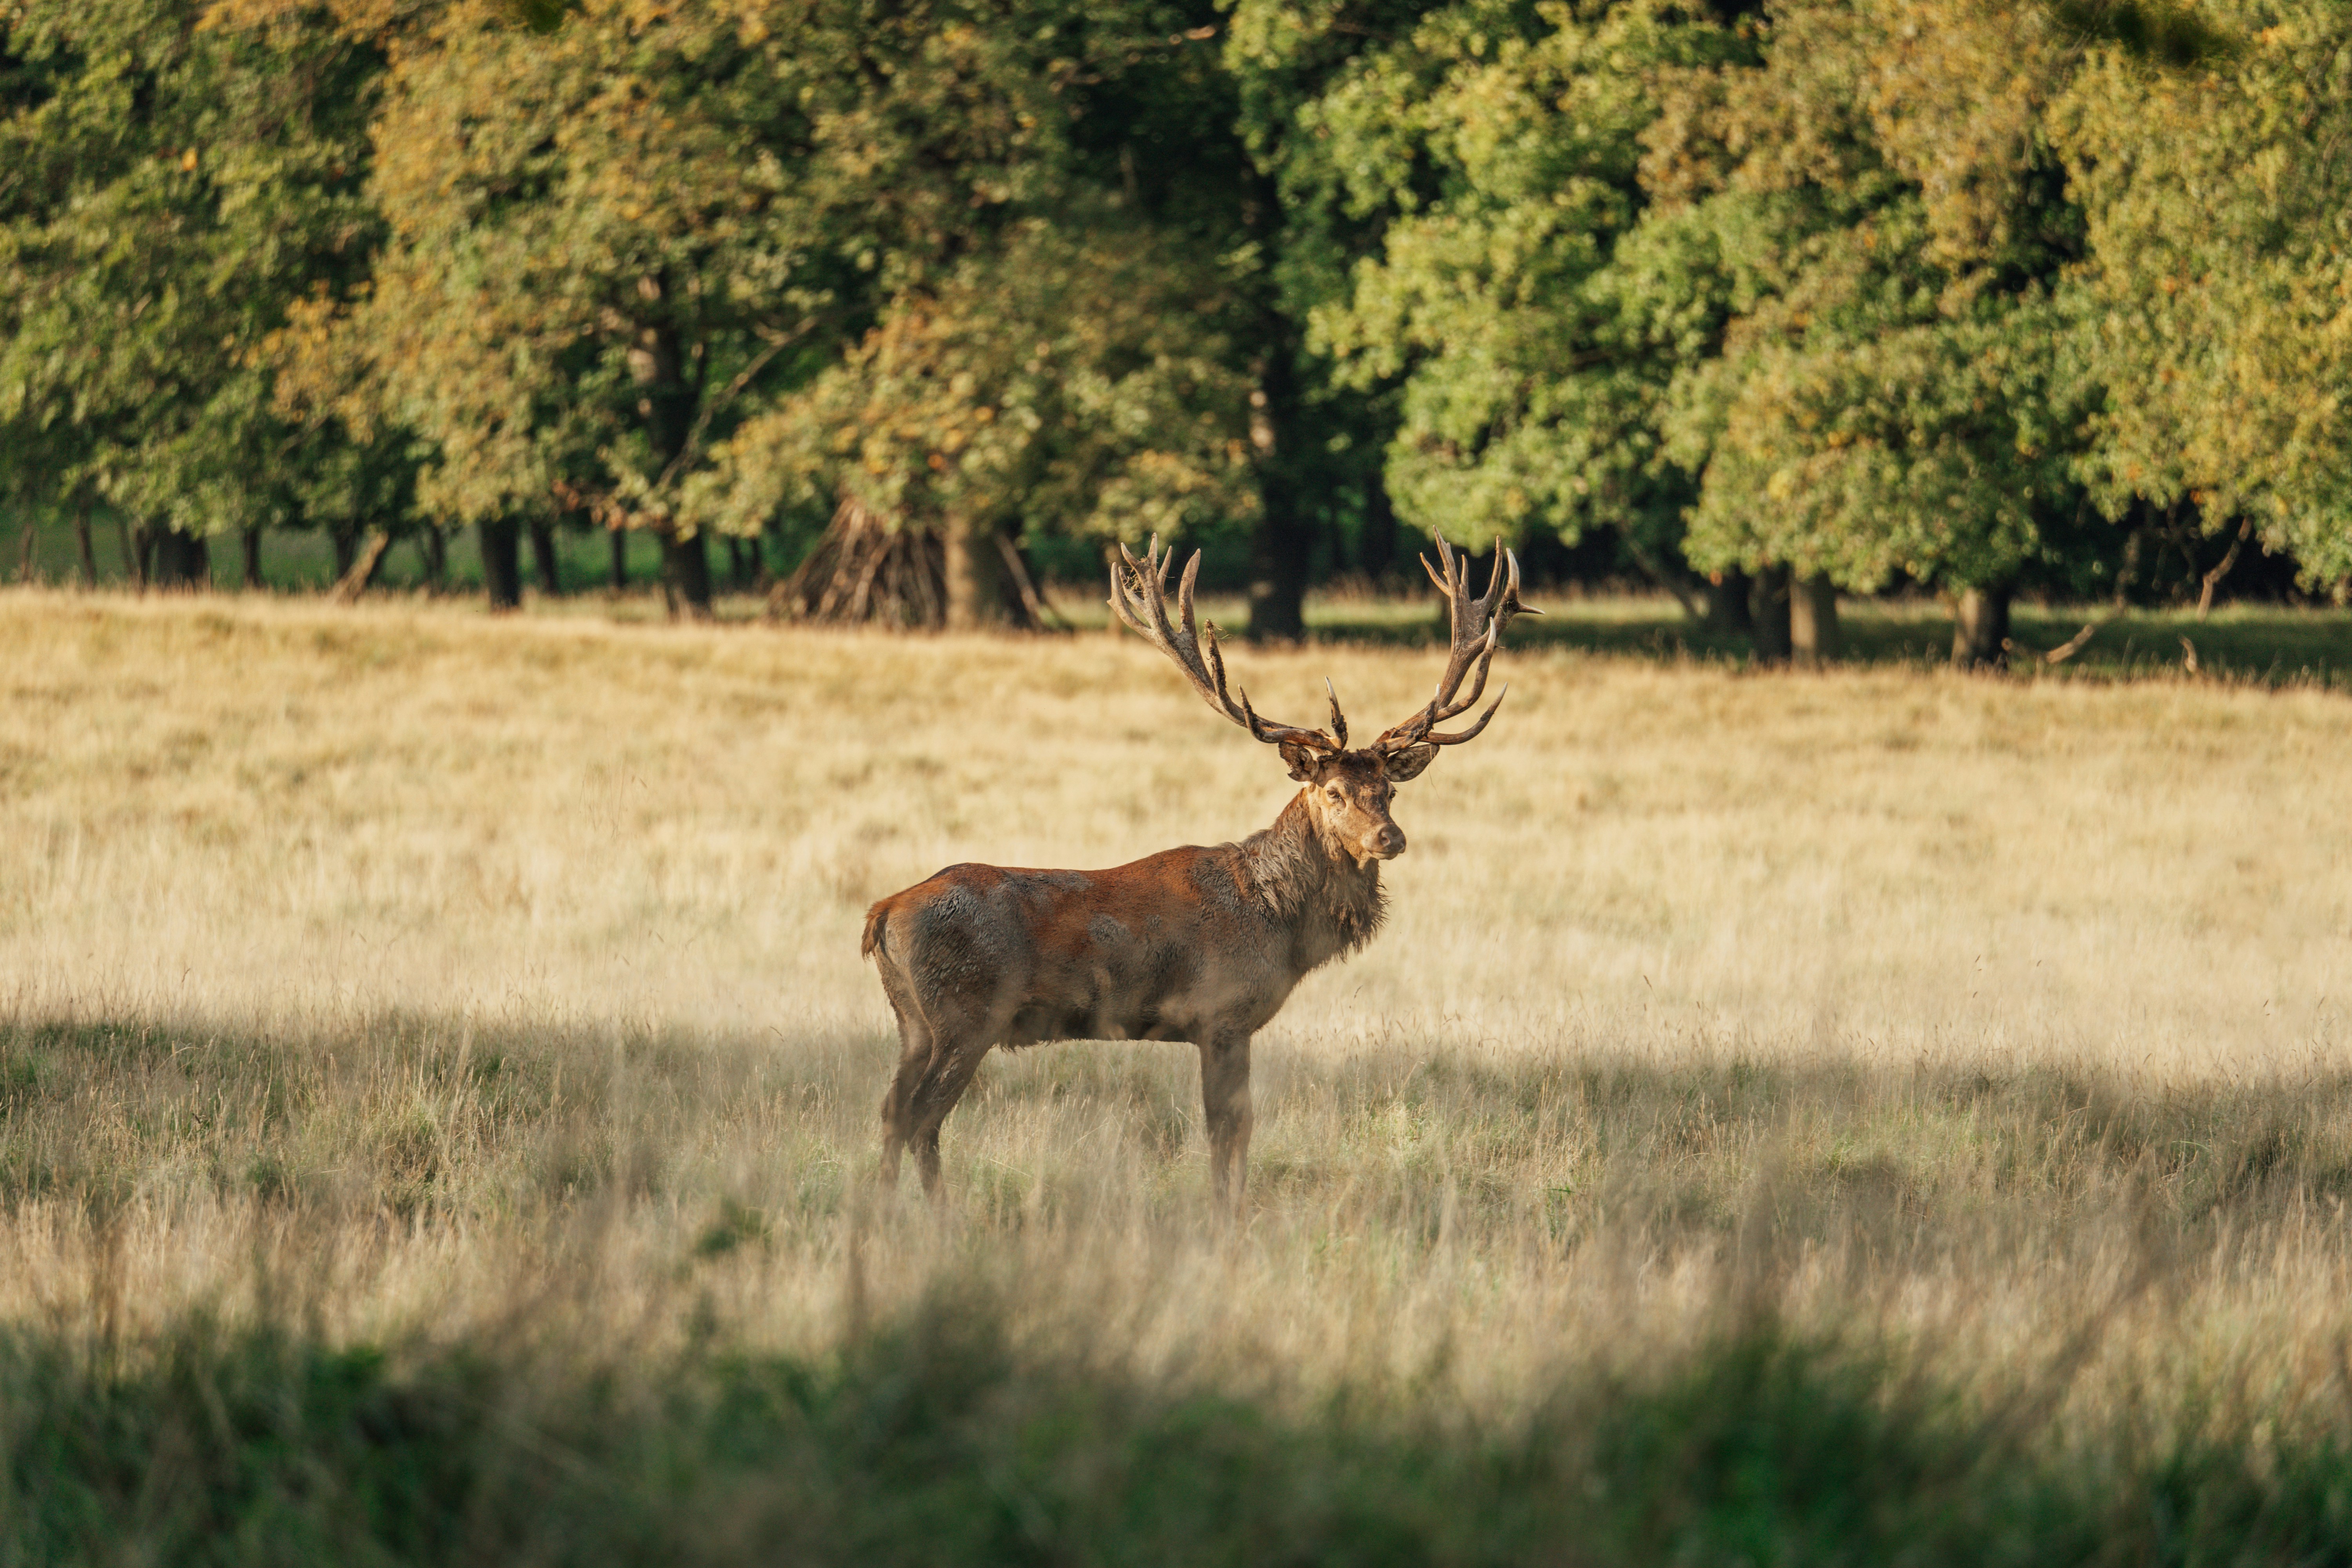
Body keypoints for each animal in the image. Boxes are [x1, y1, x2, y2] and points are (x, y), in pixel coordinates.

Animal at [859, 535, 1533, 1214]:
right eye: (1334, 792)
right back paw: (932, 1216)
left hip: (913, 1021)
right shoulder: (1222, 1014)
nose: (1389, 838)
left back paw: (890, 1212)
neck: (1279, 925)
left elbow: (1235, 1129)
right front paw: (1227, 1214)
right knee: (921, 1117)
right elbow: (1227, 1130)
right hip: (966, 1012)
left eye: (1390, 790)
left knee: (891, 1111)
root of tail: (881, 915)